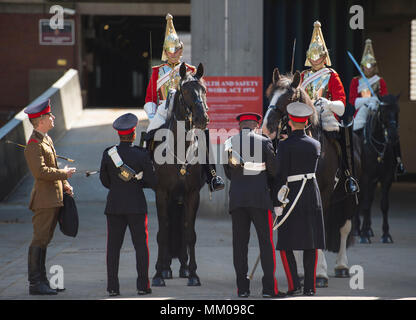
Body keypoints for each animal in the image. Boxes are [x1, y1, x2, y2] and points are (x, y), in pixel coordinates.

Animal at [150, 61, 208, 286]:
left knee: (182, 229)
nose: (202, 118)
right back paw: (166, 268)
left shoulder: (192, 194)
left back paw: (182, 267)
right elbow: (163, 232)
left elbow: (189, 233)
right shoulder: (162, 193)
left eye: (204, 90)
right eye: (186, 91)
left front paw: (193, 274)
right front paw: (158, 274)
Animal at [354, 94, 400, 244]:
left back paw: (366, 229)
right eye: (383, 112)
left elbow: (384, 205)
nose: (393, 136)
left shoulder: (386, 178)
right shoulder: (366, 177)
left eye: (397, 111)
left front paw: (386, 234)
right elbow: (365, 204)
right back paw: (357, 230)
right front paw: (363, 236)